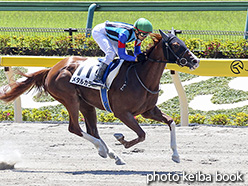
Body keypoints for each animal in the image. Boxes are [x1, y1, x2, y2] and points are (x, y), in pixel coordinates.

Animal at [0, 30, 199, 164]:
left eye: (182, 42)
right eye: (175, 45)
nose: (195, 61)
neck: (141, 77)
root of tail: (52, 69)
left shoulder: (148, 111)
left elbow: (170, 122)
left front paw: (175, 155)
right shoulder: (123, 113)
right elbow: (142, 134)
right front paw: (122, 139)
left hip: (86, 104)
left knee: (92, 130)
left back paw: (112, 154)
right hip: (70, 99)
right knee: (75, 128)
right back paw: (104, 150)